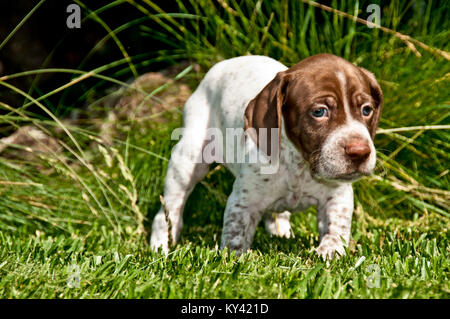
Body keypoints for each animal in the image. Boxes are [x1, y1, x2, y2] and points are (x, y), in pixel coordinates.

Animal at [149, 54, 382, 260]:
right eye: (319, 112)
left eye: (367, 110)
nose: (360, 152)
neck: (300, 164)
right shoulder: (244, 202)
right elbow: (236, 235)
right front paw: (234, 259)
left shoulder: (337, 196)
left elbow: (337, 229)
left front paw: (330, 252)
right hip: (187, 161)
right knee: (168, 212)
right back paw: (161, 248)